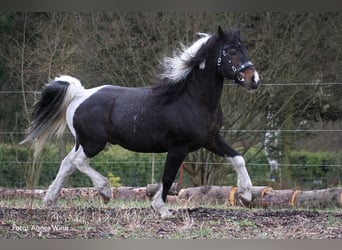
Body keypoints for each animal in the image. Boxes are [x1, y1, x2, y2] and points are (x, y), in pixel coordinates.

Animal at [22, 26, 260, 218]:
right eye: (231, 52)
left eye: (245, 49)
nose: (254, 79)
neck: (191, 99)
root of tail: (80, 94)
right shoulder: (178, 148)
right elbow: (167, 177)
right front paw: (162, 210)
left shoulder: (211, 140)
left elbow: (238, 158)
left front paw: (246, 195)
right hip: (94, 143)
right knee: (77, 162)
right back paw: (105, 191)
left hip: (84, 142)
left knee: (67, 163)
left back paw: (50, 201)